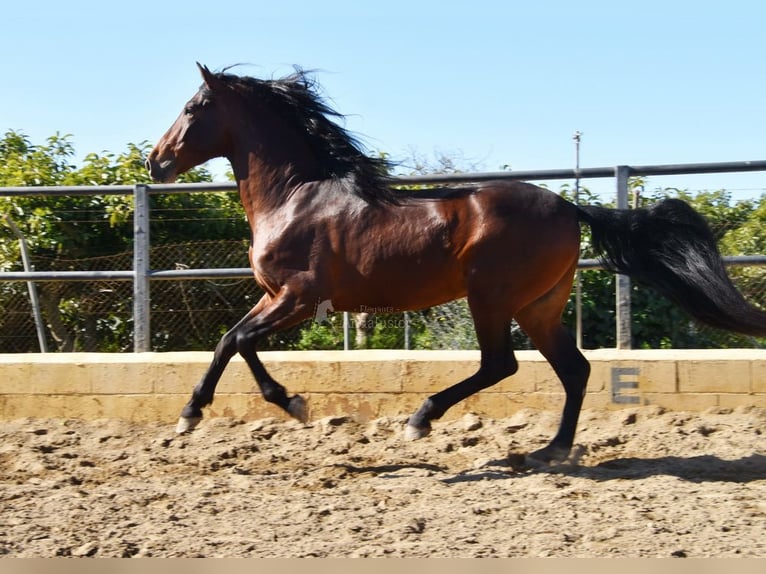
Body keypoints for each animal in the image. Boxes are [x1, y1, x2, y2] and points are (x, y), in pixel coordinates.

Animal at [146, 64, 766, 468]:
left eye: (193, 108)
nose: (156, 162)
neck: (297, 196)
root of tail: (570, 206)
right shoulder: (274, 296)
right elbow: (230, 341)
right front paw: (211, 411)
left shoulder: (298, 297)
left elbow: (239, 341)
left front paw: (272, 407)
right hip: (540, 306)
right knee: (574, 369)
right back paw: (551, 450)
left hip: (491, 297)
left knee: (502, 365)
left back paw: (423, 420)